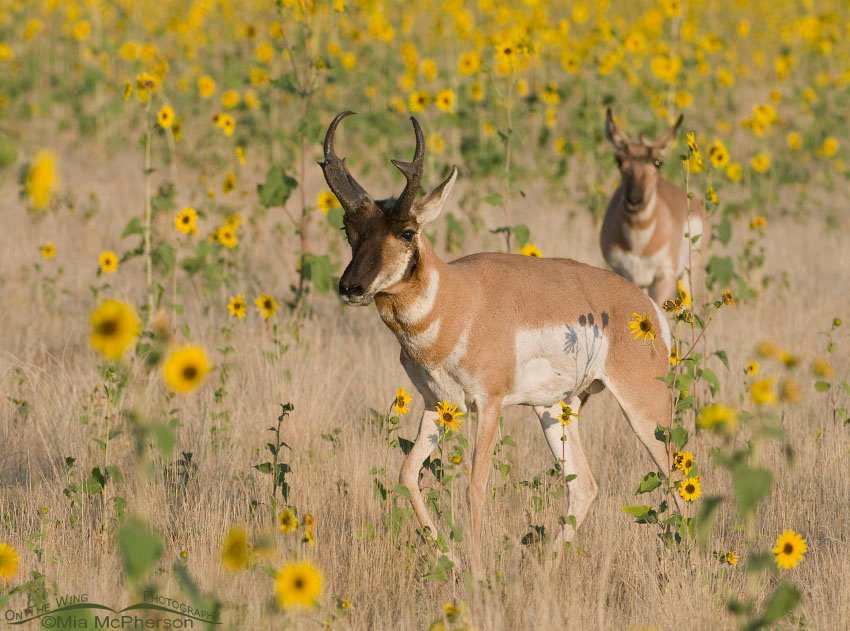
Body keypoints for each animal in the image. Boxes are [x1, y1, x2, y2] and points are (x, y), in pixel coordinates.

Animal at [321, 112, 681, 568]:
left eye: (407, 231)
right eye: (348, 227)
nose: (351, 287)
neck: (458, 299)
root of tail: (646, 307)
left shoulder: (488, 405)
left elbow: (475, 486)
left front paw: (474, 569)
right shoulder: (439, 405)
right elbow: (406, 474)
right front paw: (450, 561)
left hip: (645, 411)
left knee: (678, 475)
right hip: (553, 410)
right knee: (584, 486)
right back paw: (545, 568)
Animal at [601, 108, 707, 305]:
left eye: (658, 162)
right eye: (619, 161)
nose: (634, 200)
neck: (638, 243)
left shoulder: (664, 277)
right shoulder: (622, 273)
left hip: (692, 275)